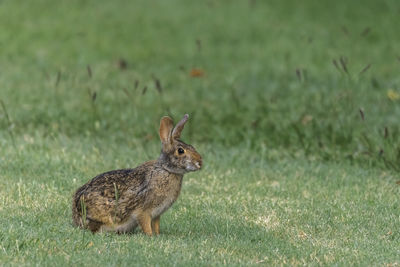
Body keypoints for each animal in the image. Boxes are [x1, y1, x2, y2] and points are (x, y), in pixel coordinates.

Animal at [71, 114, 203, 236]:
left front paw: (157, 234)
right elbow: (145, 224)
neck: (166, 170)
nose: (200, 162)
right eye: (180, 151)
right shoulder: (143, 211)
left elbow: (156, 225)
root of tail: (76, 215)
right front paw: (150, 236)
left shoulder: (157, 214)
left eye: (192, 147)